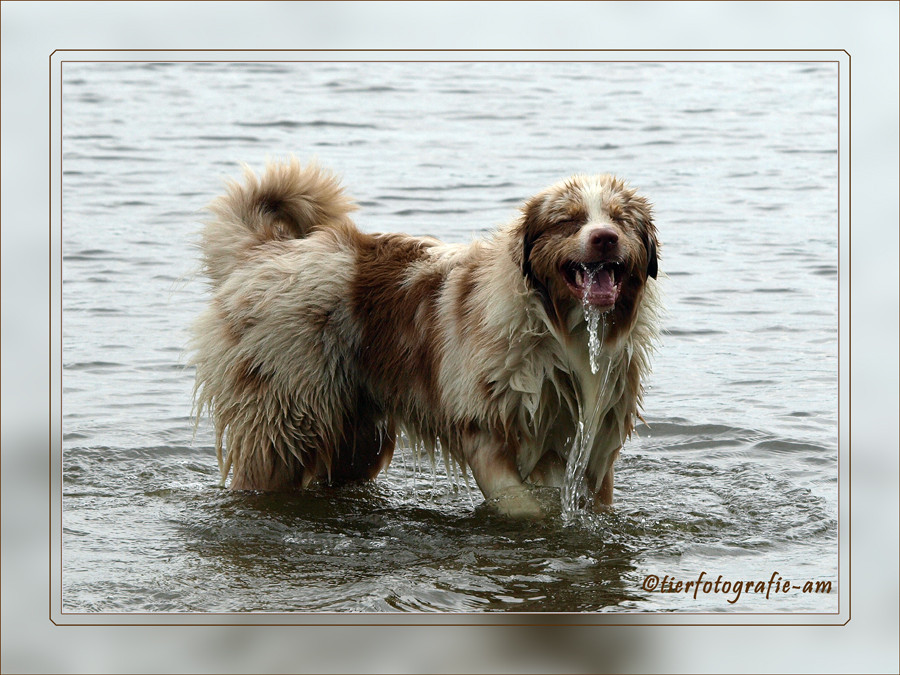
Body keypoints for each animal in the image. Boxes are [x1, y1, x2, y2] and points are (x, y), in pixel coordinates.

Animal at [190, 158, 660, 516]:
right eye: (570, 221)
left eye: (621, 220)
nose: (604, 238)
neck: (556, 330)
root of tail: (264, 251)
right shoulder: (483, 428)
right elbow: (520, 505)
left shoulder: (593, 443)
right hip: (285, 415)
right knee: (263, 471)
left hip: (356, 434)